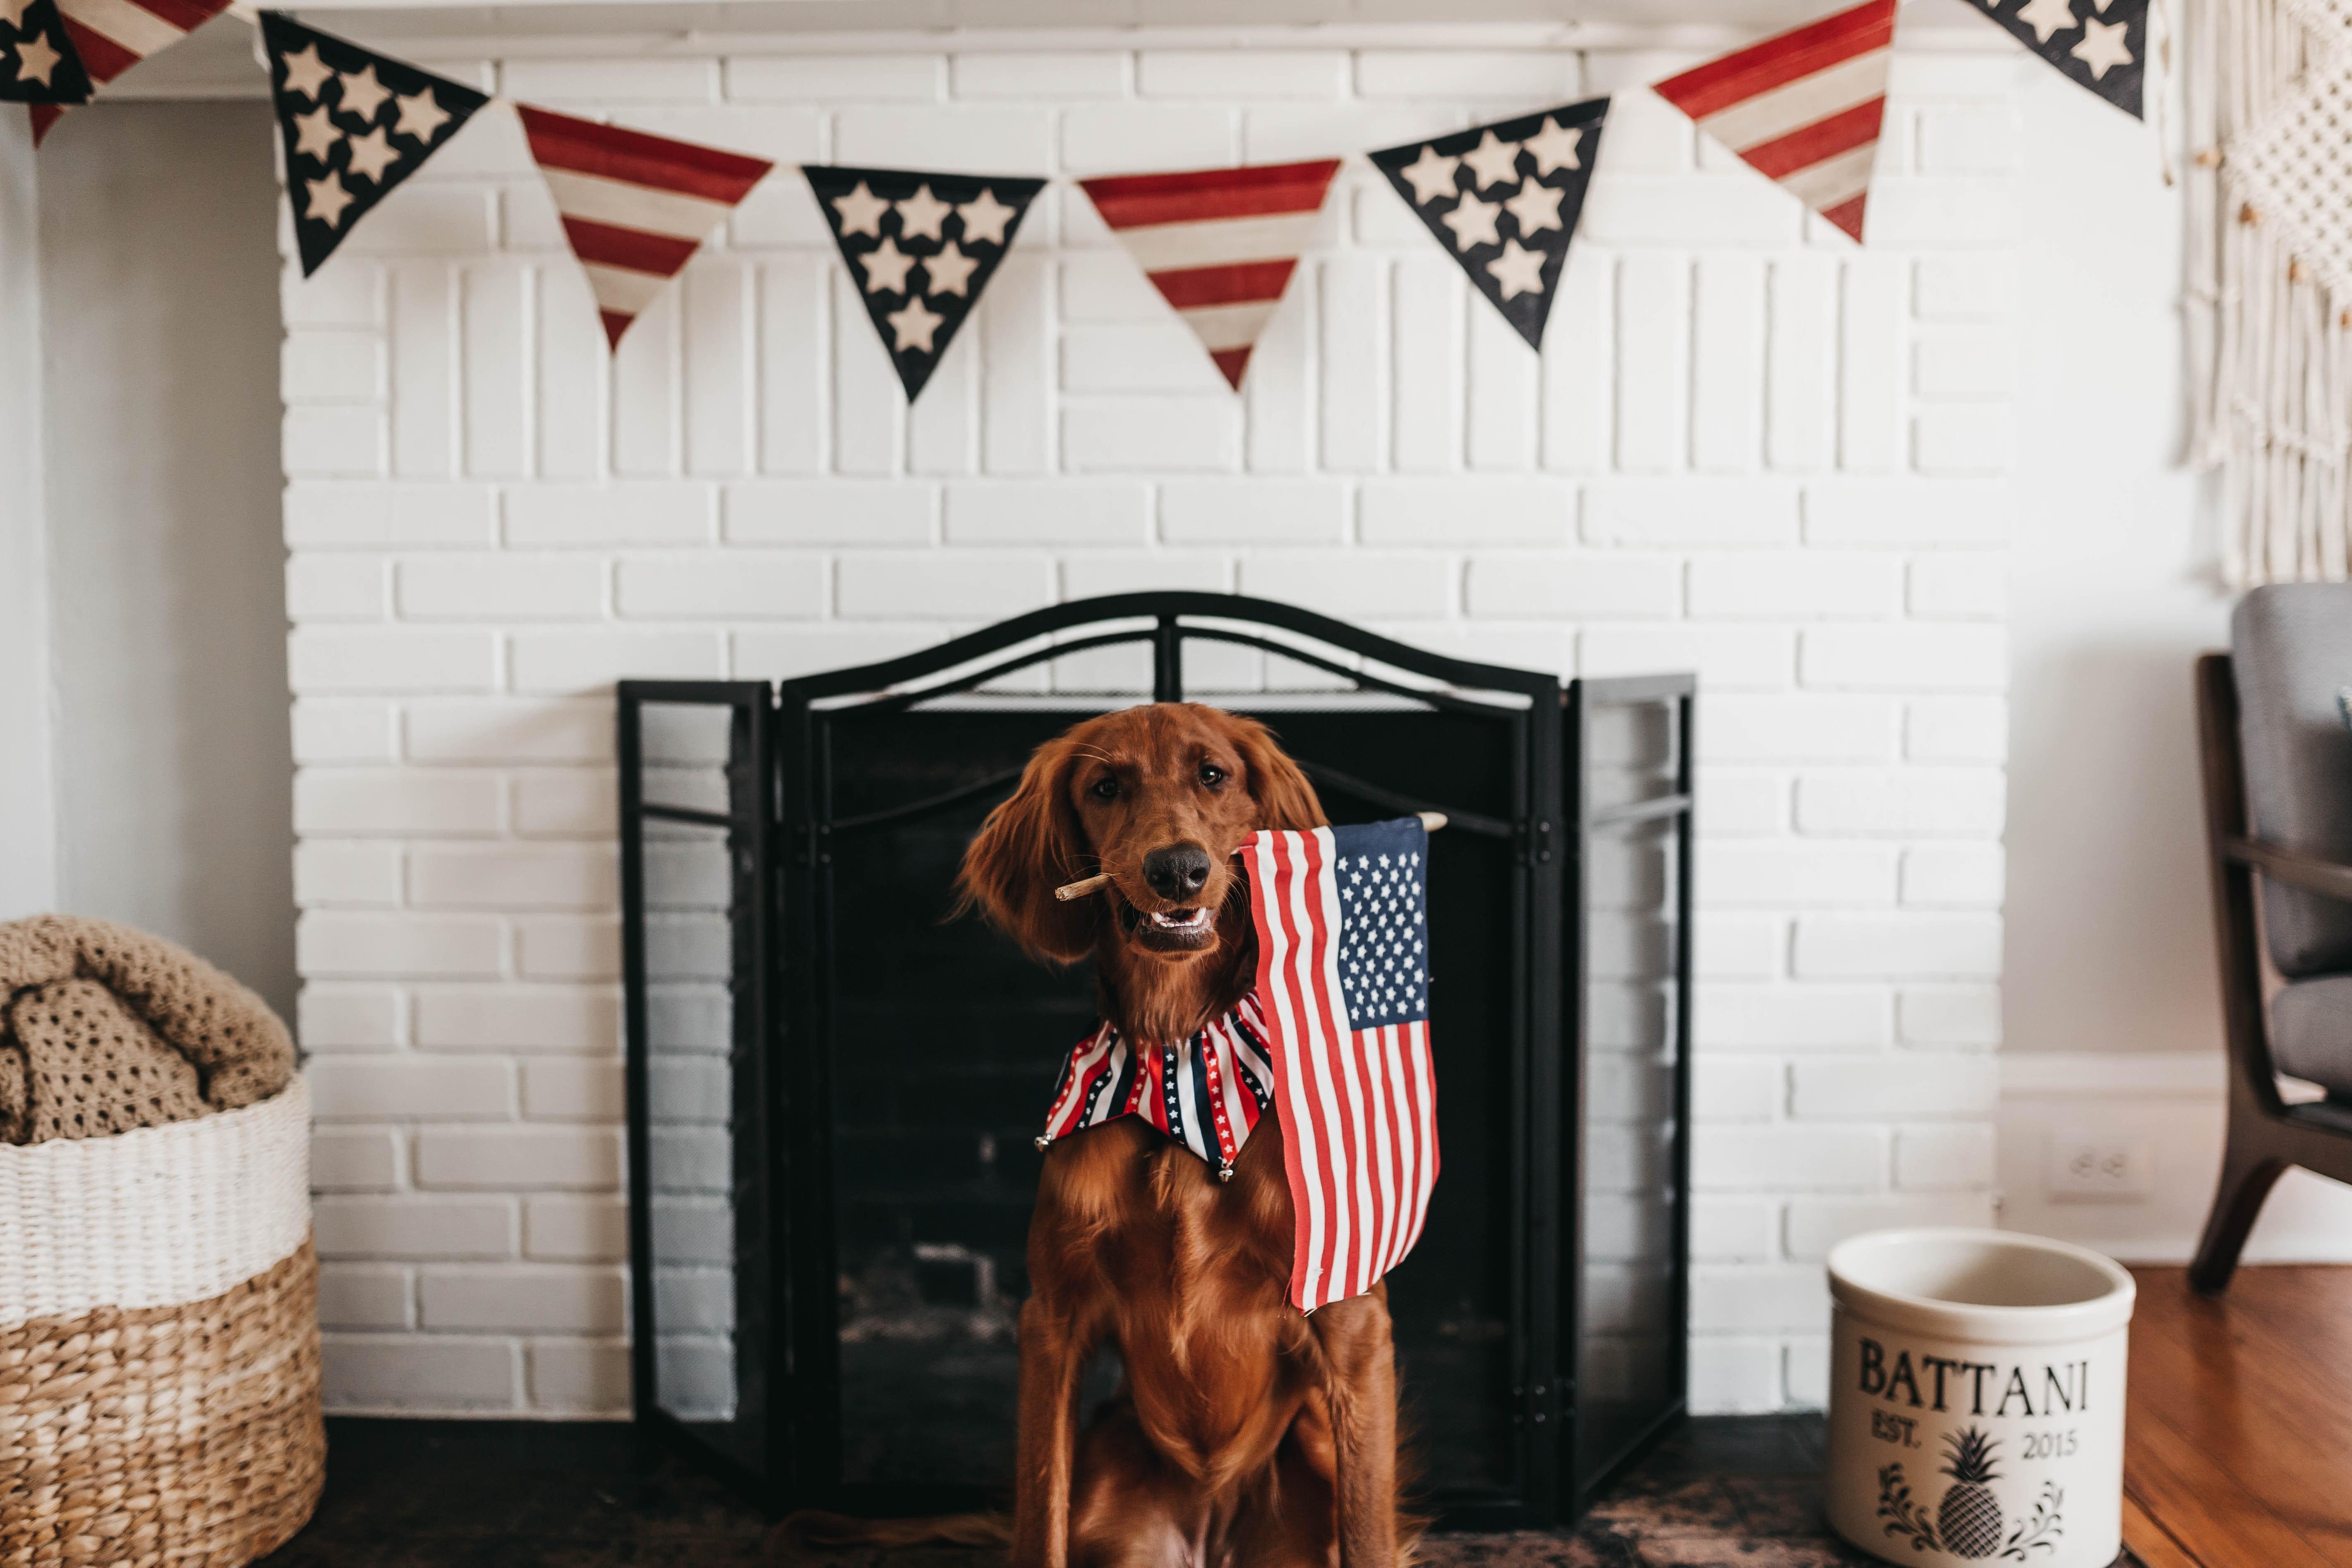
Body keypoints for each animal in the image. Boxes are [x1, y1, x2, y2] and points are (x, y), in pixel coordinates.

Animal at [955, 710, 1411, 1568]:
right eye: (1106, 787)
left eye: (1213, 775)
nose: (1177, 870)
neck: (1179, 1065)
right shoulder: (1052, 1320)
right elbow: (1040, 1517)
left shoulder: (1349, 1317)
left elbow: (1370, 1531)